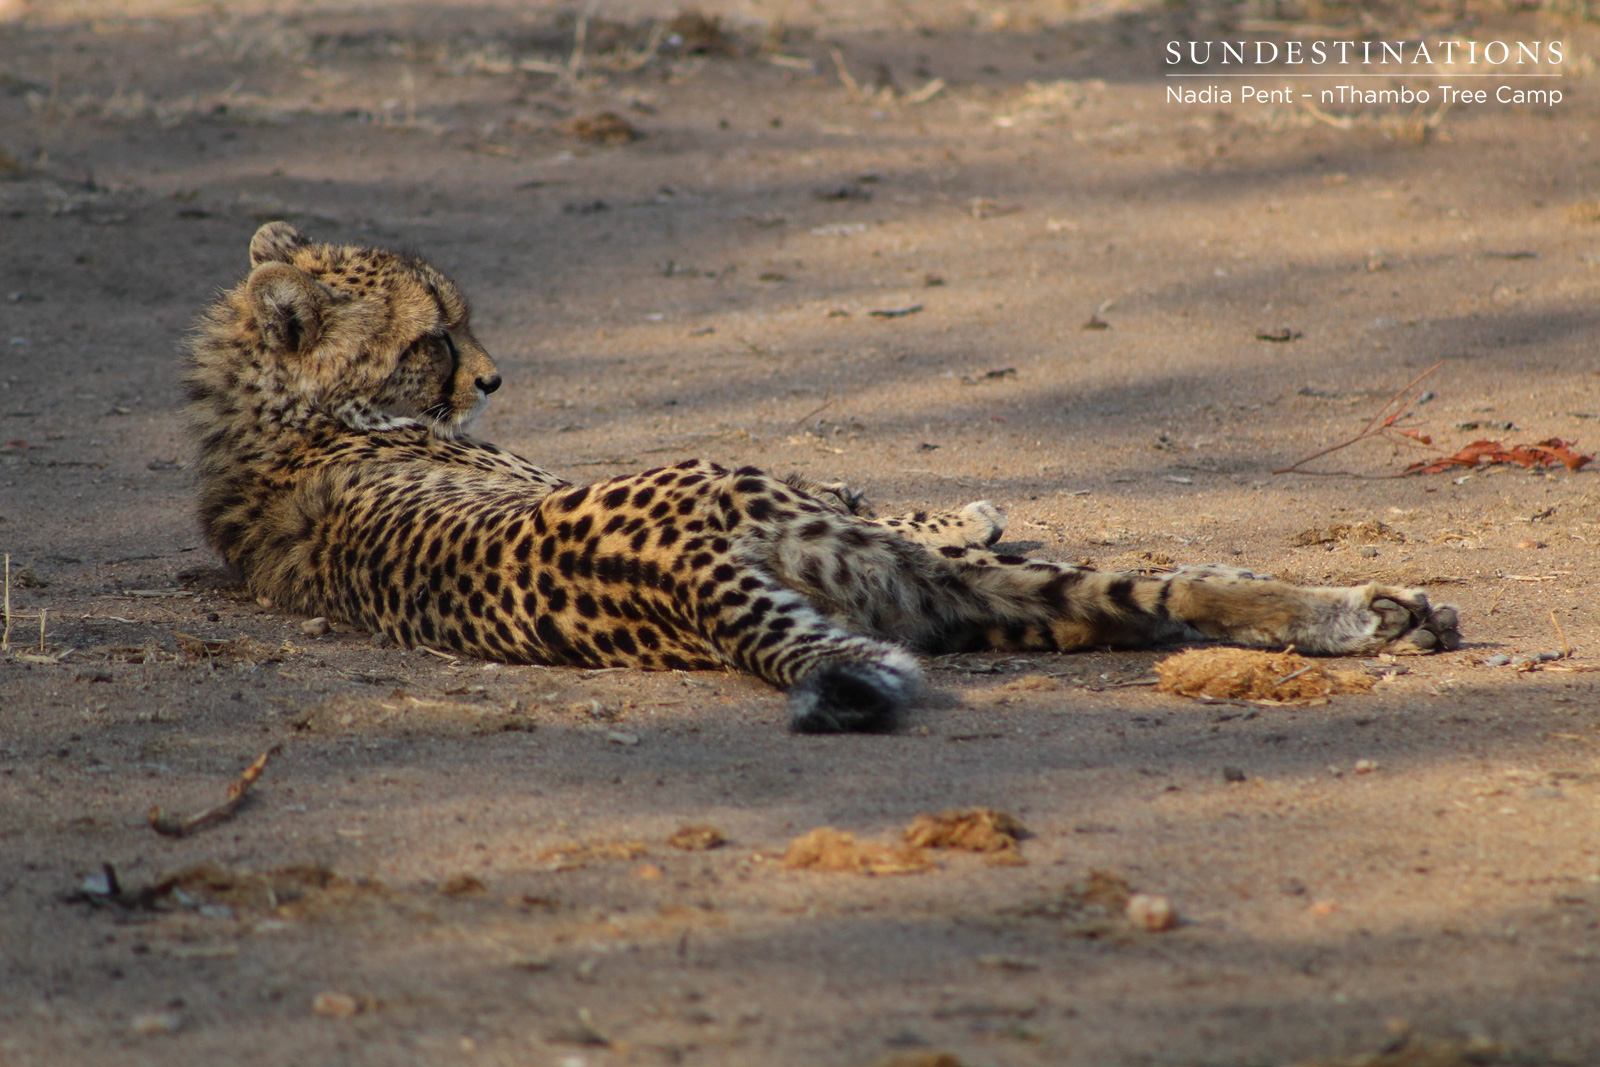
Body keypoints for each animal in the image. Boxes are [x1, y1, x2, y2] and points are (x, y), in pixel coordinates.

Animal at [183, 222, 1461, 733]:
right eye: (433, 335)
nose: (493, 379)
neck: (275, 414)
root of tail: (679, 569)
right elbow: (888, 495)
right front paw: (967, 501)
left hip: (929, 603)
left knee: (1154, 598)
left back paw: (1374, 616)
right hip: (882, 564)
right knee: (1134, 581)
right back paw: (1380, 609)